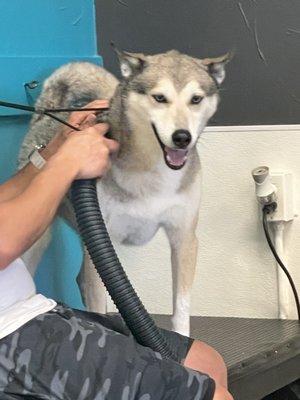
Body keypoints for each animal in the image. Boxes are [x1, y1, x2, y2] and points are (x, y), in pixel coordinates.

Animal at [18, 50, 230, 338]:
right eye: (159, 97)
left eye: (195, 99)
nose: (182, 137)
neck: (153, 169)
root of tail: (44, 114)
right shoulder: (100, 246)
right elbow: (100, 304)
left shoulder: (184, 239)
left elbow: (181, 310)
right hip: (40, 239)